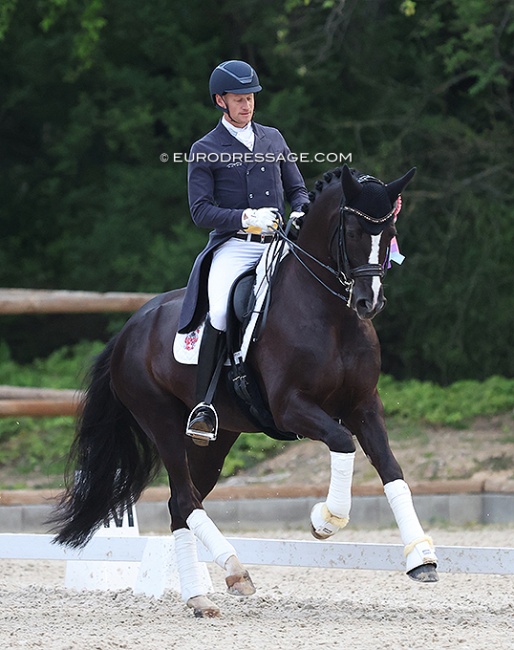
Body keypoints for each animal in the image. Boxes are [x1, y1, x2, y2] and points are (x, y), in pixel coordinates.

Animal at [51, 165, 436, 616]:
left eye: (389, 230)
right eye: (355, 230)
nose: (368, 303)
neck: (331, 317)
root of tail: (130, 328)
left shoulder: (364, 406)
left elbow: (392, 470)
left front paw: (421, 558)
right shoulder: (291, 408)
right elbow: (342, 442)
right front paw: (325, 520)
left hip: (214, 440)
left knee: (181, 504)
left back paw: (199, 597)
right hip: (162, 423)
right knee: (185, 499)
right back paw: (235, 572)